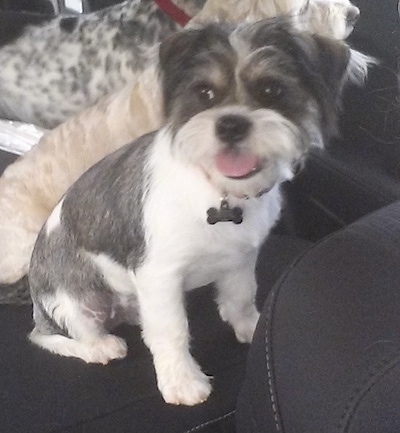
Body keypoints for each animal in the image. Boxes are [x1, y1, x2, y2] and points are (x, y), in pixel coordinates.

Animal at [30, 19, 356, 404]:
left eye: (270, 89)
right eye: (205, 93)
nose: (231, 124)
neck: (219, 192)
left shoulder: (241, 257)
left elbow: (240, 297)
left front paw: (251, 326)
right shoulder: (160, 274)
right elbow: (172, 330)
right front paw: (182, 380)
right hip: (74, 299)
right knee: (57, 336)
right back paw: (101, 346)